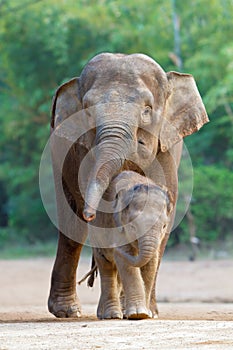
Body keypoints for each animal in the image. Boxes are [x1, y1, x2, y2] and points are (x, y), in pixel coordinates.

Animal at [91, 171, 173, 322]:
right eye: (132, 226)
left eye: (164, 226)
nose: (113, 247)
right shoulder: (116, 225)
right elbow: (127, 260)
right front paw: (138, 314)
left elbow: (150, 263)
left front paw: (146, 314)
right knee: (106, 267)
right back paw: (111, 316)